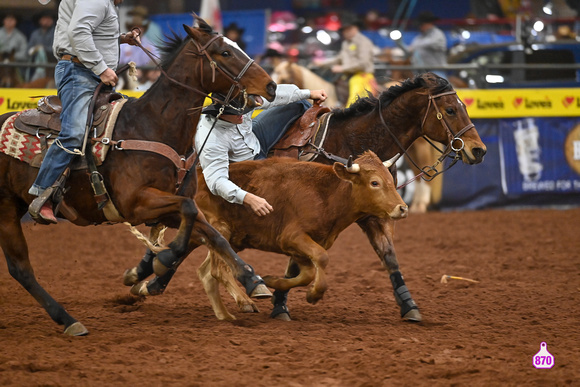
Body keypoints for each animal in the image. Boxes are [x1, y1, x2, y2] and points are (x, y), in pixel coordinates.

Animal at [129, 73, 488, 324]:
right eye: (451, 109)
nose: (479, 150)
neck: (350, 142)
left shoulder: (375, 215)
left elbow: (390, 259)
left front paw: (409, 306)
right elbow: (296, 264)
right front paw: (280, 304)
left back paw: (146, 280)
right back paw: (149, 278)